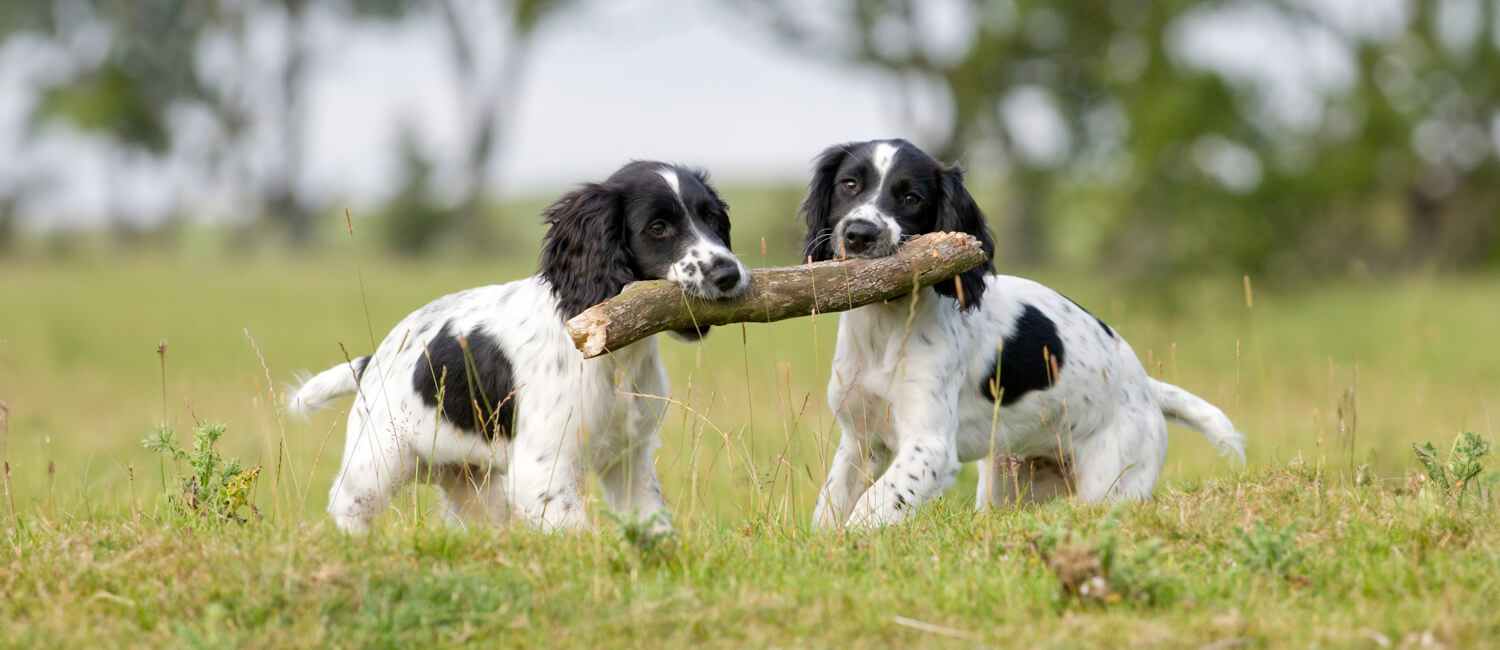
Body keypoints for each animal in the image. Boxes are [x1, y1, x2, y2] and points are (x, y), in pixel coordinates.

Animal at [285, 160, 744, 531]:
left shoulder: (628, 458)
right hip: (378, 462)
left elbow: (653, 527)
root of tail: (374, 359)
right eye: (658, 227)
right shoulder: (542, 470)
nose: (729, 274)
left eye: (714, 220)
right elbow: (575, 533)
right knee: (347, 507)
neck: (616, 357)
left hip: (473, 486)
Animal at [804, 139, 1248, 528]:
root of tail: (1145, 385)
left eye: (911, 198)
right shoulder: (861, 442)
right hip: (1006, 484)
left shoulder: (929, 442)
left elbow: (875, 503)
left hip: (1111, 483)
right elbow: (830, 504)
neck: (883, 328)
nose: (859, 234)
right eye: (849, 185)